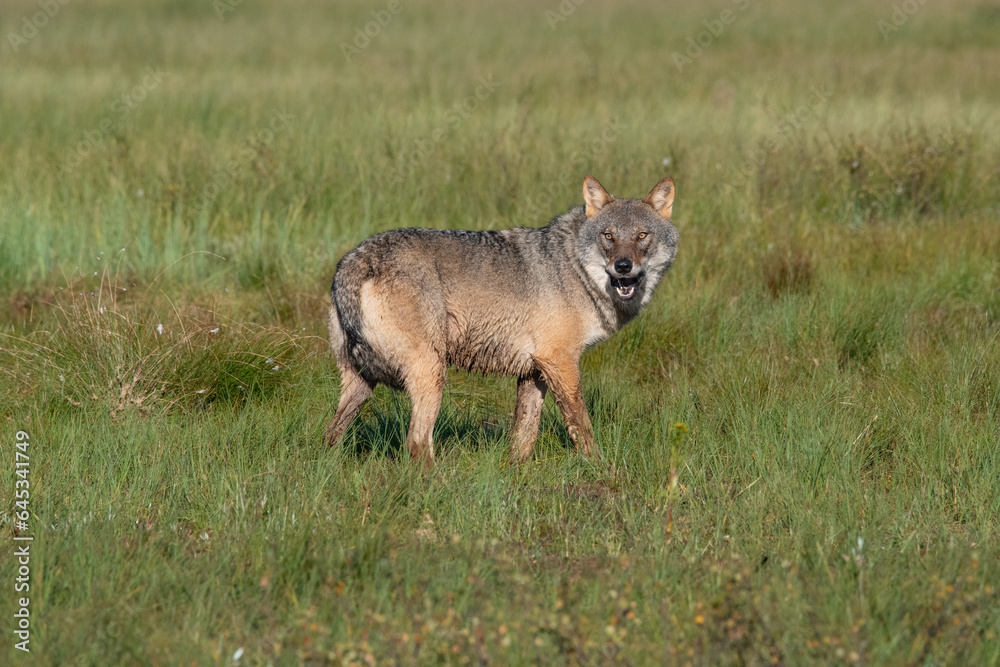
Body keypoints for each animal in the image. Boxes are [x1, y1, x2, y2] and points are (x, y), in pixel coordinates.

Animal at [325, 175, 678, 464]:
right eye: (609, 236)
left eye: (642, 236)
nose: (623, 267)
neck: (576, 269)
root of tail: (353, 262)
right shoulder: (560, 361)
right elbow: (582, 425)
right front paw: (599, 468)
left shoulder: (535, 370)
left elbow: (523, 437)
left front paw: (515, 477)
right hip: (431, 373)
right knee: (417, 444)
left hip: (361, 385)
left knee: (330, 436)